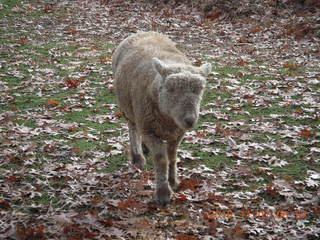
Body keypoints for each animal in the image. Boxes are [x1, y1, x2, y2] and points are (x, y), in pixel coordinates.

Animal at [111, 31, 211, 205]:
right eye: (170, 89)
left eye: (200, 89)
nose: (190, 120)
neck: (169, 120)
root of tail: (143, 32)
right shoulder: (149, 130)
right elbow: (161, 159)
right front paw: (163, 193)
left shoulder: (178, 133)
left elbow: (172, 156)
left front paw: (173, 181)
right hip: (129, 107)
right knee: (133, 128)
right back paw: (137, 156)